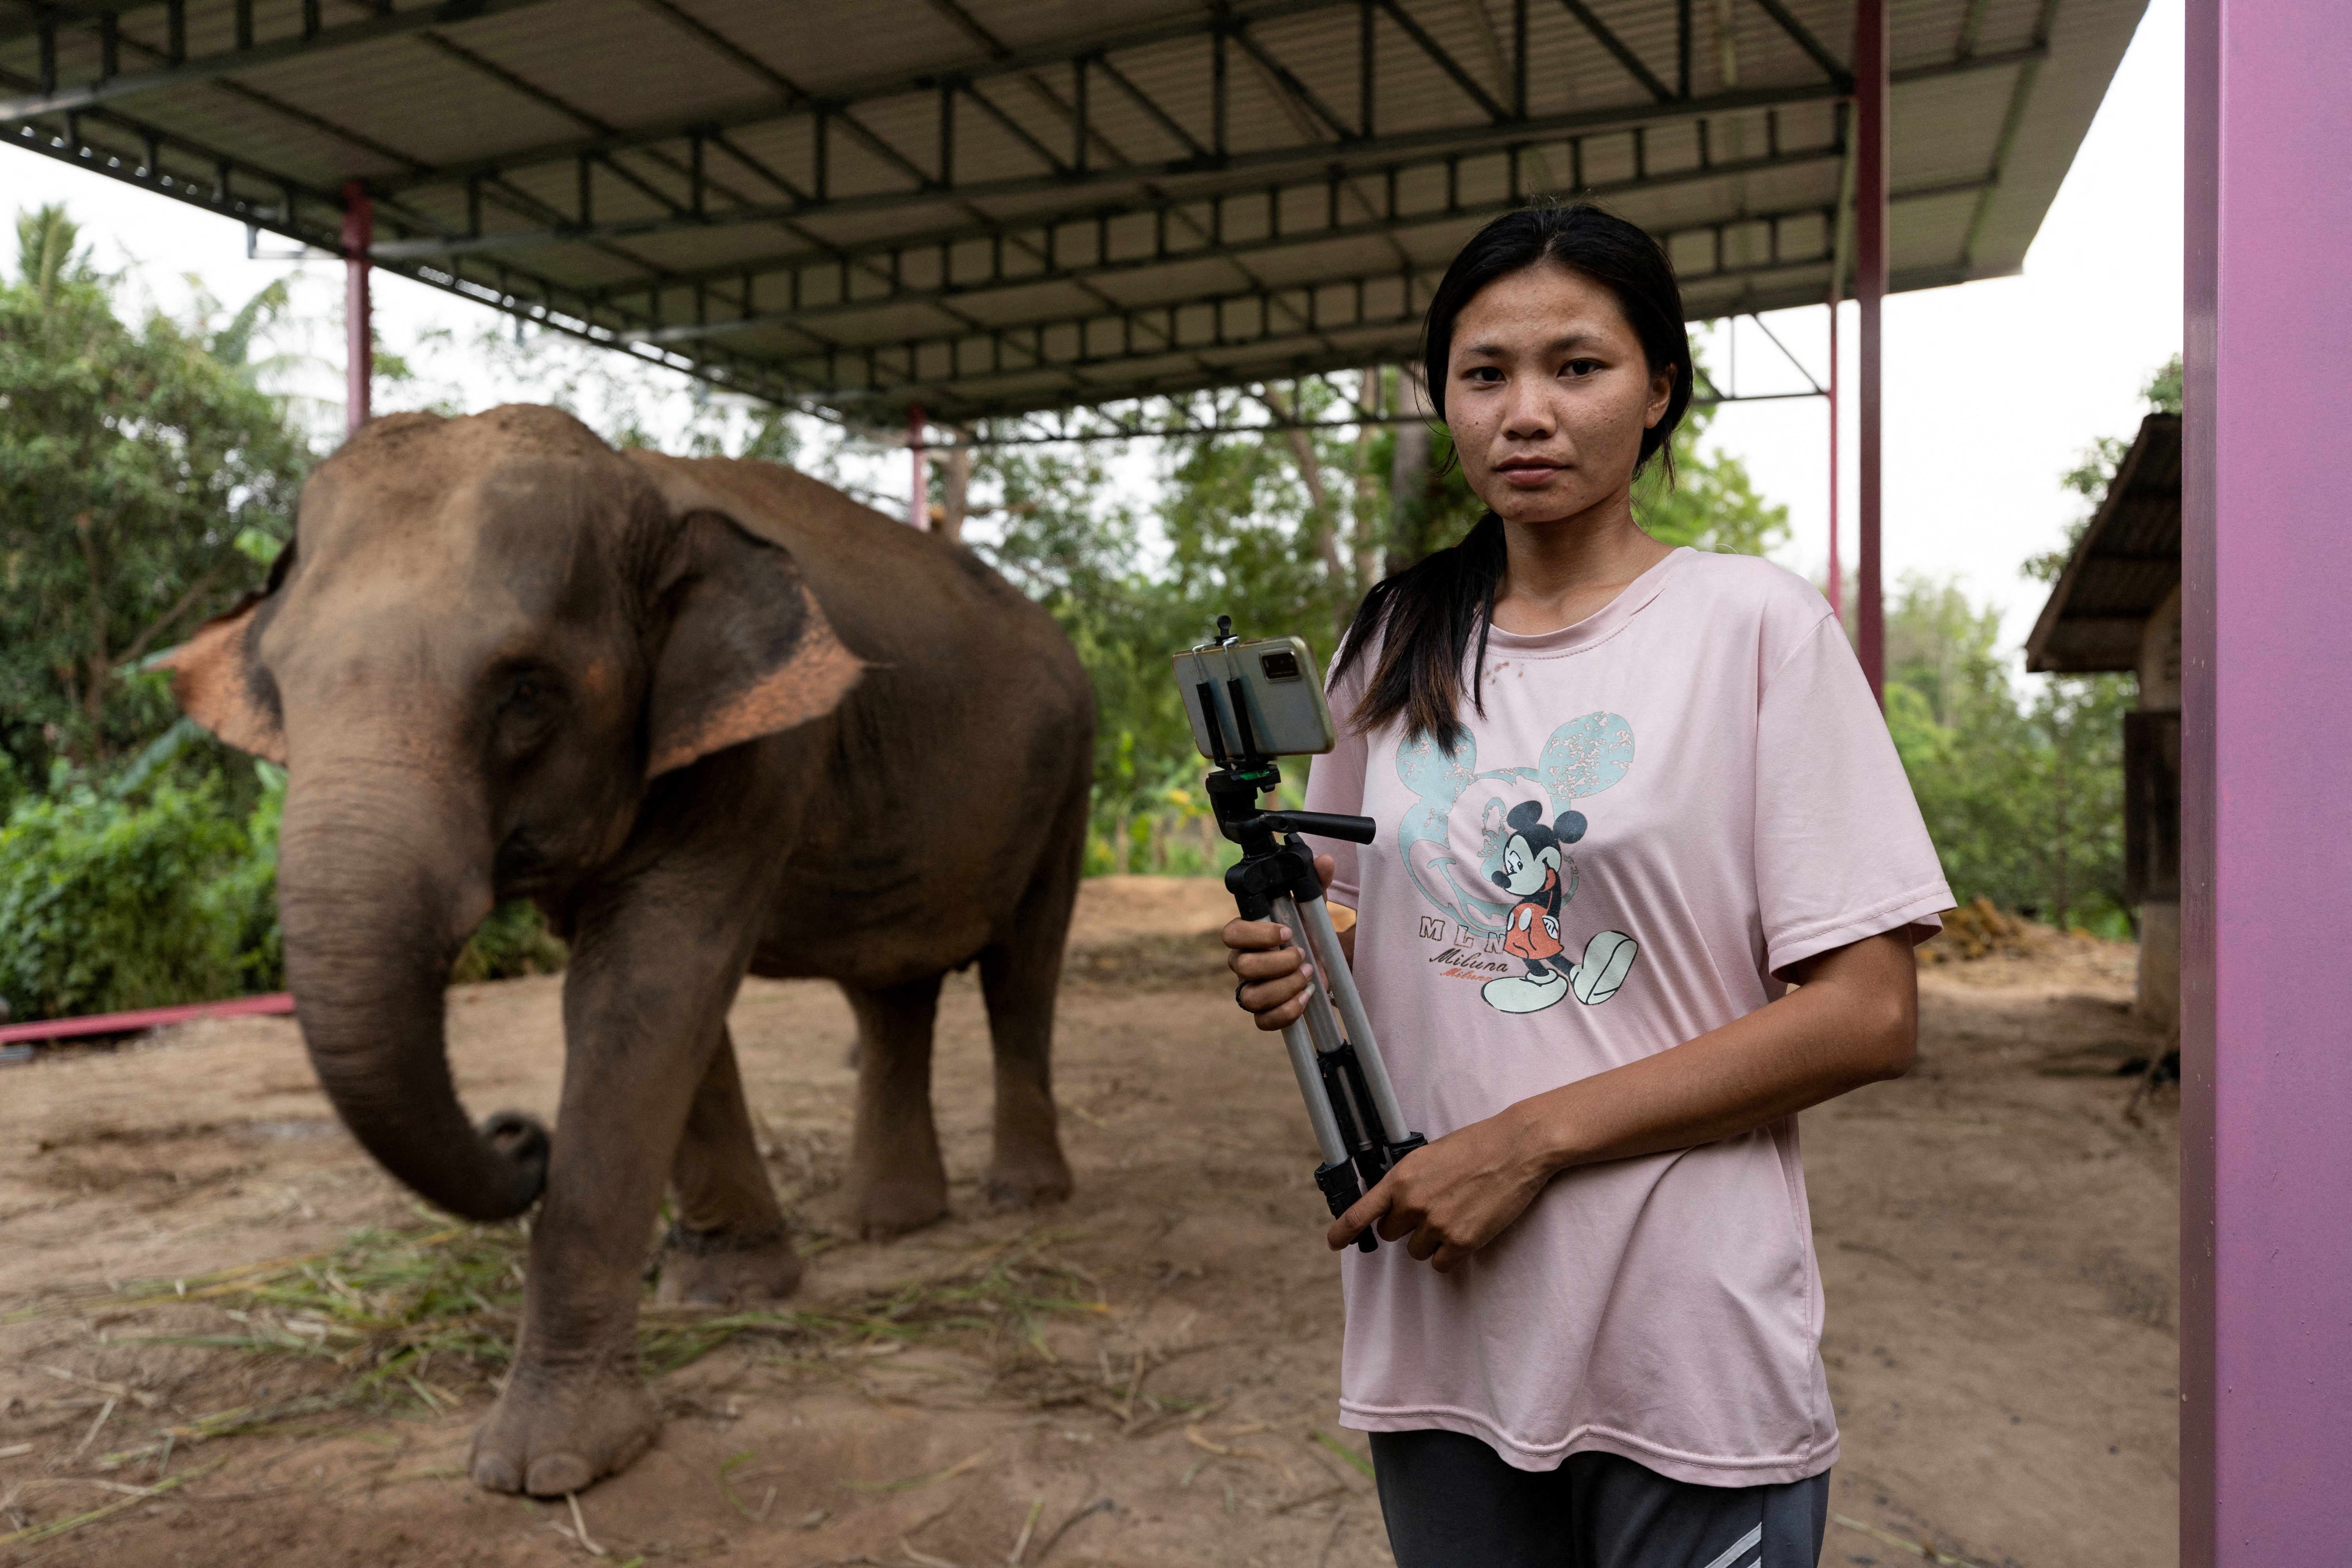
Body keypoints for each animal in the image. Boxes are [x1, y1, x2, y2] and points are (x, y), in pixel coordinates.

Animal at [166, 404, 1094, 1496]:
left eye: (526, 689)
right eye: (280, 683)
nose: (518, 1134)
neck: (637, 482)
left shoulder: (764, 746)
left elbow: (647, 984)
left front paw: (546, 1468)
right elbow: (653, 1000)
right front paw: (731, 1287)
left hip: (1070, 774)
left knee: (1023, 971)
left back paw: (1023, 1201)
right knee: (891, 988)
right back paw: (885, 1224)